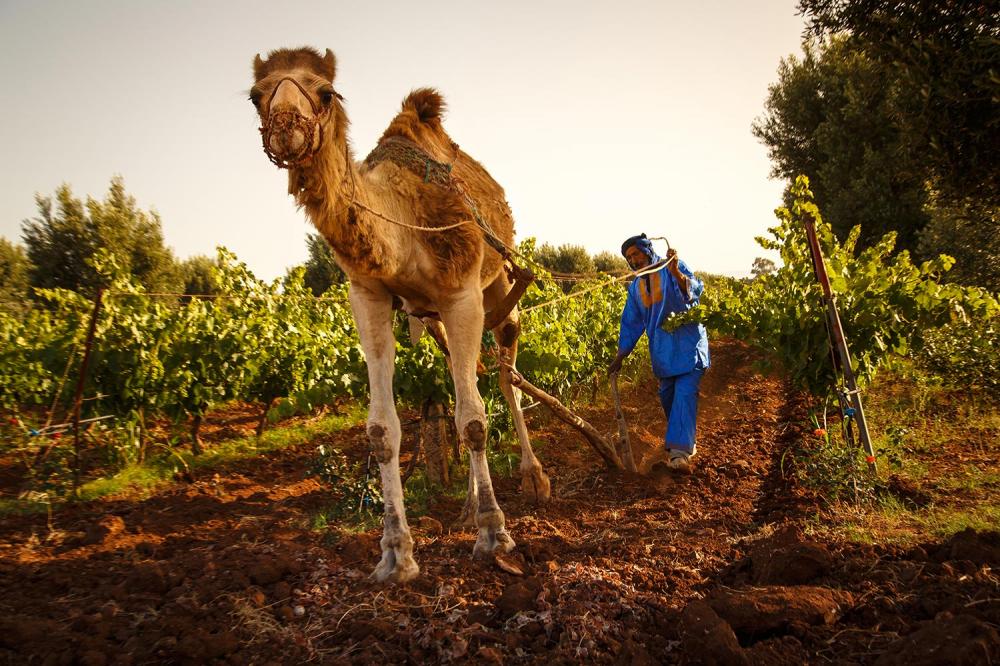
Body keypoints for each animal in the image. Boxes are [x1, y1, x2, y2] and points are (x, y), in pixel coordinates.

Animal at [247, 48, 552, 580]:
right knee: (464, 374)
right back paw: (467, 505)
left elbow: (473, 418)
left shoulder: (462, 292)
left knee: (504, 370)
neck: (402, 223)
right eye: (255, 95)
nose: (286, 126)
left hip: (495, 283)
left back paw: (533, 478)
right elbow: (383, 428)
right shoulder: (369, 296)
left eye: (326, 92)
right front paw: (395, 553)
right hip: (433, 316)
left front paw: (494, 535)